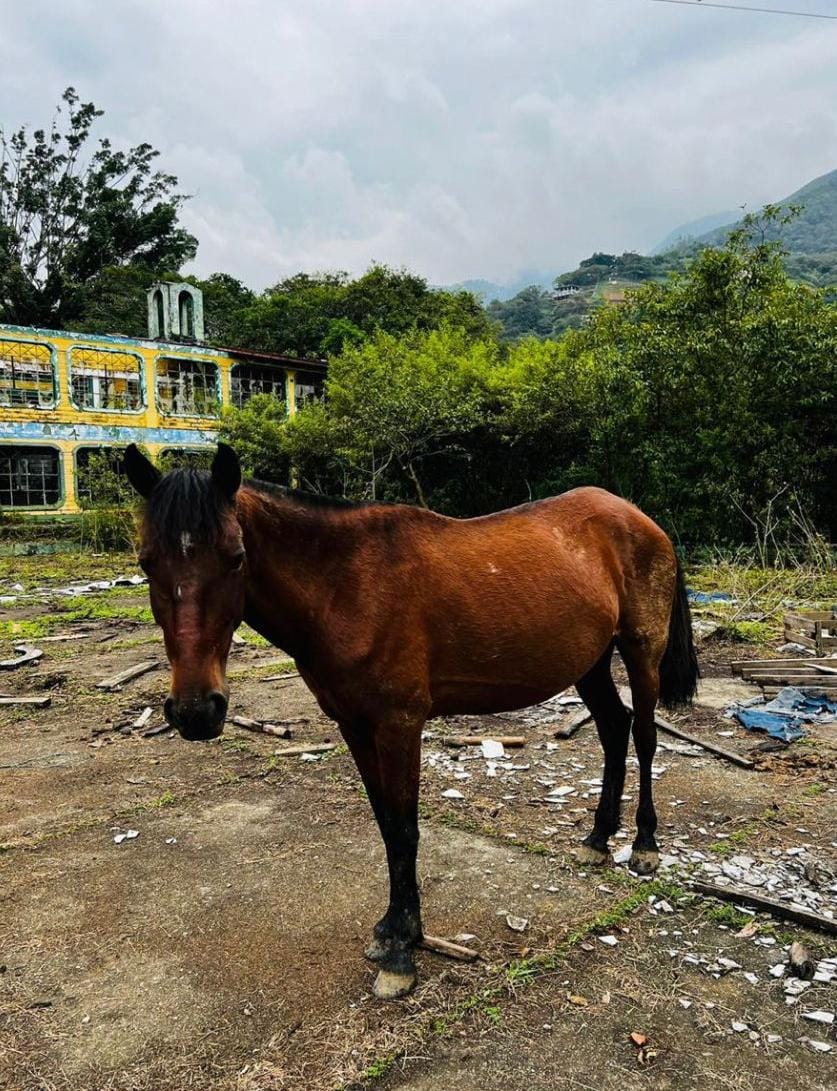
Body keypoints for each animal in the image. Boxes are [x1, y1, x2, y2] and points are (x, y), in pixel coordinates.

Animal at [124, 442, 698, 1000]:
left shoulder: (399, 726)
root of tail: (638, 518)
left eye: (237, 557)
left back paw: (644, 845)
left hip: (641, 650)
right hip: (590, 662)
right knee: (613, 729)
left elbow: (404, 829)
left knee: (644, 735)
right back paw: (598, 838)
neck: (344, 584)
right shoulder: (355, 727)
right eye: (147, 562)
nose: (196, 711)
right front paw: (396, 930)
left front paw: (402, 952)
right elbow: (385, 825)